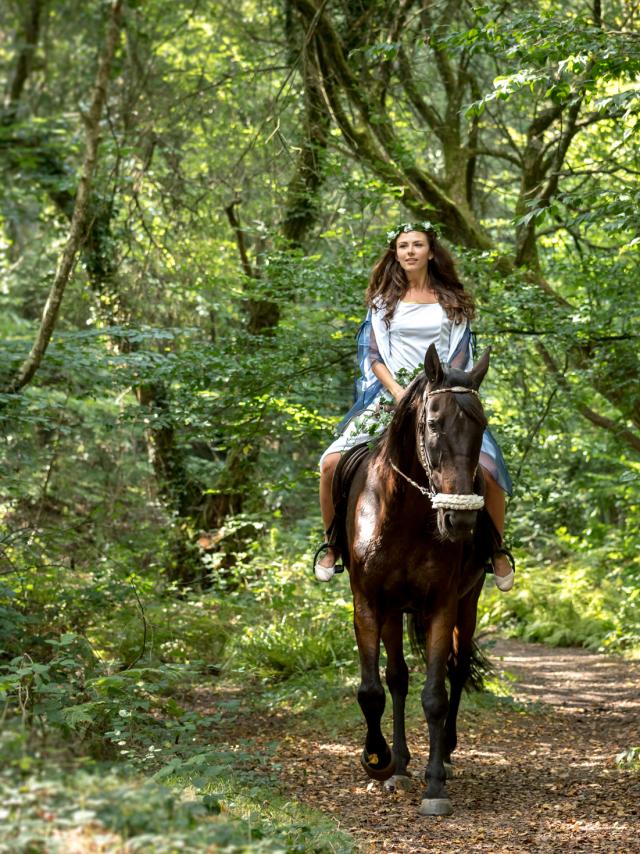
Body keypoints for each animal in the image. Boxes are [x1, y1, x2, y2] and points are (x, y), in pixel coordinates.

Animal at [336, 344, 496, 820]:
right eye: (433, 424)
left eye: (481, 425)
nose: (460, 520)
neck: (403, 513)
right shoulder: (368, 602)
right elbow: (373, 689)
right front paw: (379, 759)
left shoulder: (443, 603)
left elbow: (435, 694)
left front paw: (435, 783)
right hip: (393, 611)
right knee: (397, 678)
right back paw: (402, 766)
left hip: (469, 600)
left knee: (456, 670)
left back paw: (443, 753)